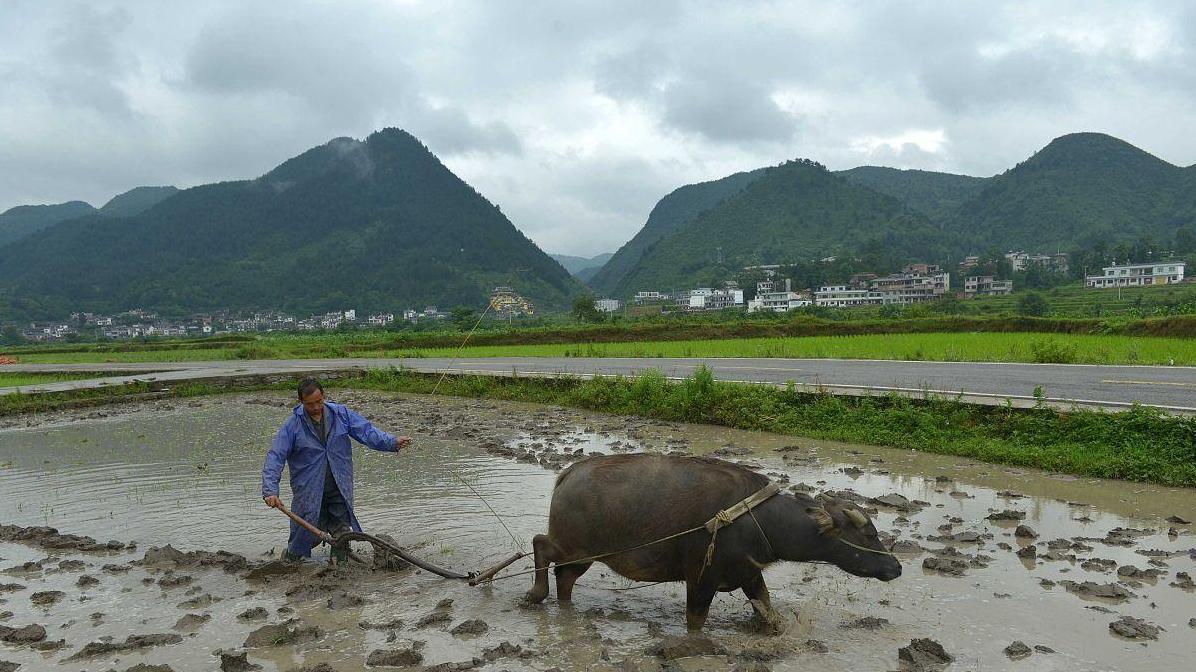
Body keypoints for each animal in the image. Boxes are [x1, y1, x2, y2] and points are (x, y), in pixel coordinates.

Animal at [523, 449, 899, 626]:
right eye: (869, 533)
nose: (895, 567)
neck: (758, 520)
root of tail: (569, 472)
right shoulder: (701, 580)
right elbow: (696, 620)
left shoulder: (750, 574)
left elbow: (767, 609)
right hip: (574, 546)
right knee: (540, 544)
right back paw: (535, 594)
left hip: (582, 557)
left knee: (565, 578)